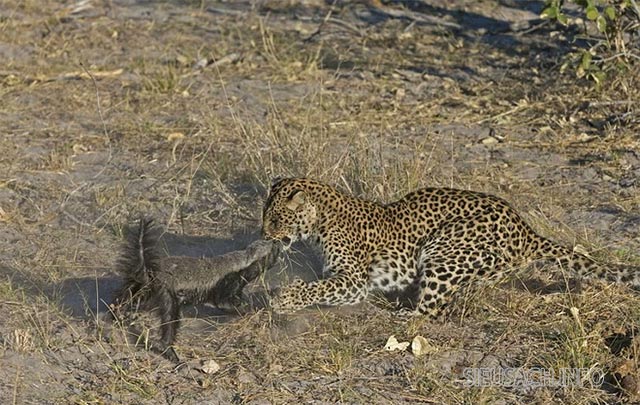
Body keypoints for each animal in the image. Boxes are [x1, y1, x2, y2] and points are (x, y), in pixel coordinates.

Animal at [262, 177, 640, 316]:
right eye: (266, 216)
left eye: (277, 219)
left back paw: (400, 311)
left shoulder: (353, 279)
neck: (320, 221)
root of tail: (525, 228)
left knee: (430, 311)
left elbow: (318, 288)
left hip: (443, 250)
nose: (264, 235)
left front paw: (284, 299)